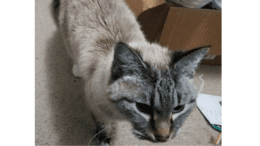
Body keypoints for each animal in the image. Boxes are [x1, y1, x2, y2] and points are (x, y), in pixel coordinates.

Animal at [52, 0, 209, 145]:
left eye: (178, 108)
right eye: (143, 108)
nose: (163, 138)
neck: (121, 115)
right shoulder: (96, 107)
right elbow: (103, 125)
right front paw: (105, 140)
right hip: (68, 35)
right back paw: (76, 69)